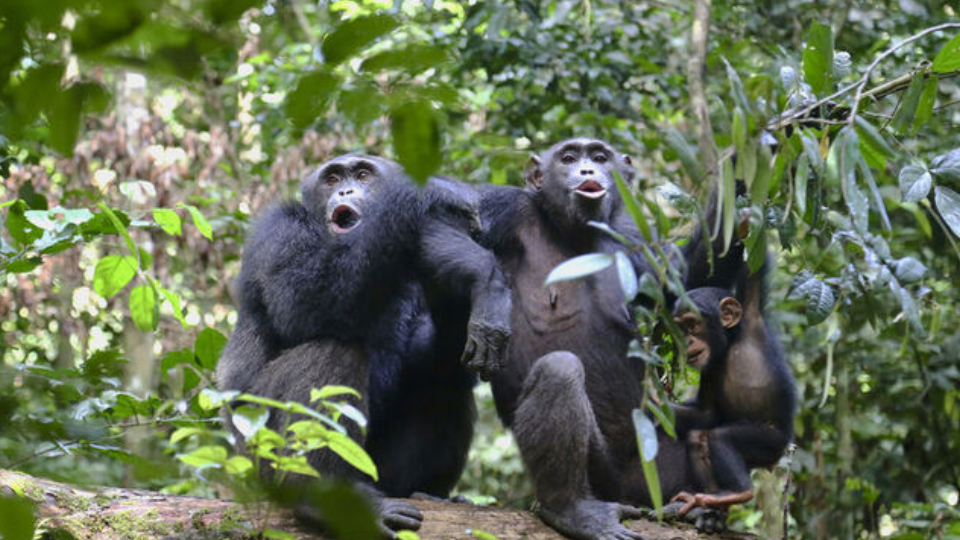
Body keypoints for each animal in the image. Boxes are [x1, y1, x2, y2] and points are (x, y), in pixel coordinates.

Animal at [218, 154, 512, 536]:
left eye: (361, 174)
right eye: (331, 179)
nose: (345, 190)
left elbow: (432, 358)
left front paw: (477, 279)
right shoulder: (276, 231)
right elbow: (304, 300)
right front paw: (433, 190)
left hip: (382, 473)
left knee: (446, 386)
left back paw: (430, 494)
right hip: (261, 456)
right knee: (330, 355)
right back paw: (324, 497)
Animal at [478, 138, 744, 540]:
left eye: (600, 157)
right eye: (568, 158)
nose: (588, 169)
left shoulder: (636, 238)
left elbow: (683, 281)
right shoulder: (506, 210)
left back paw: (702, 510)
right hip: (603, 474)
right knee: (559, 372)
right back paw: (570, 509)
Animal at [664, 260, 800, 516]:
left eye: (691, 325)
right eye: (680, 330)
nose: (686, 341)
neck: (731, 341)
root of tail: (773, 460)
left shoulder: (753, 312)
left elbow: (753, 272)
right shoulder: (708, 370)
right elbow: (706, 413)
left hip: (771, 442)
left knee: (721, 437)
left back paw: (739, 492)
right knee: (698, 438)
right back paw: (710, 498)